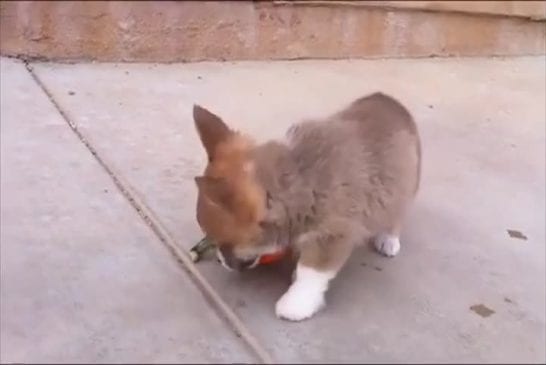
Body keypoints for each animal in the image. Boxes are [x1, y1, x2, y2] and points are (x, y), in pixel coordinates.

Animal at [193, 92, 418, 320]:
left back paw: (388, 239)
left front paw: (295, 303)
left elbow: (310, 273)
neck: (298, 180)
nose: (220, 261)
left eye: (225, 242)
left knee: (396, 215)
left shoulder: (333, 236)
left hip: (404, 189)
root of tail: (387, 99)